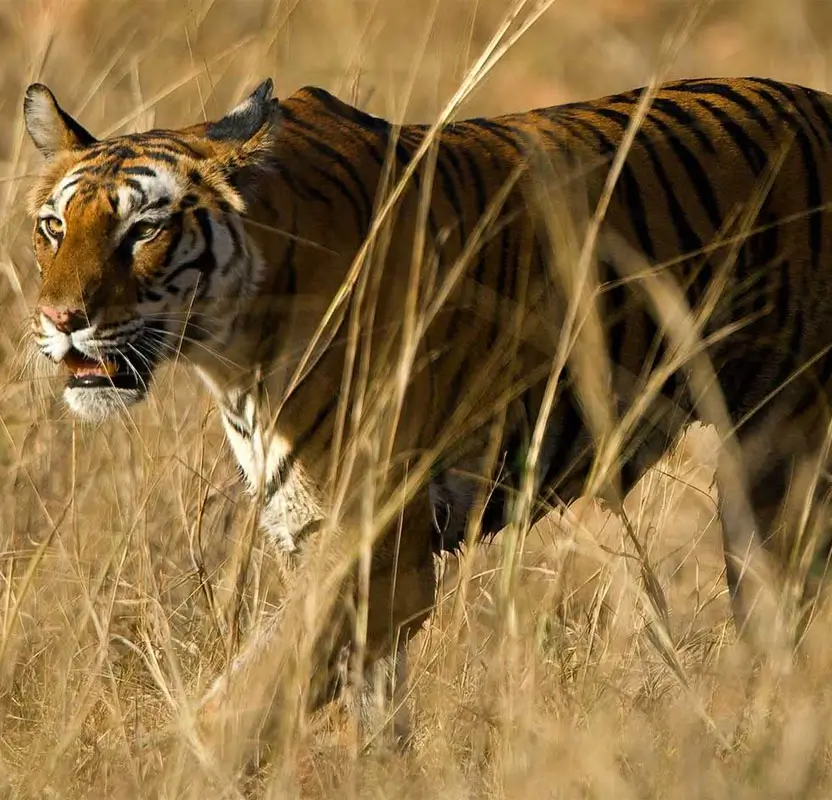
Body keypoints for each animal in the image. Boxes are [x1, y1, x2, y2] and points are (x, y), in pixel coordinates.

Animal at [22, 74, 832, 744]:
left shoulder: (377, 543)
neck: (232, 349)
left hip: (776, 469)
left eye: (144, 230)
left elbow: (254, 690)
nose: (62, 320)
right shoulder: (317, 534)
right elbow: (367, 709)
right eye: (54, 228)